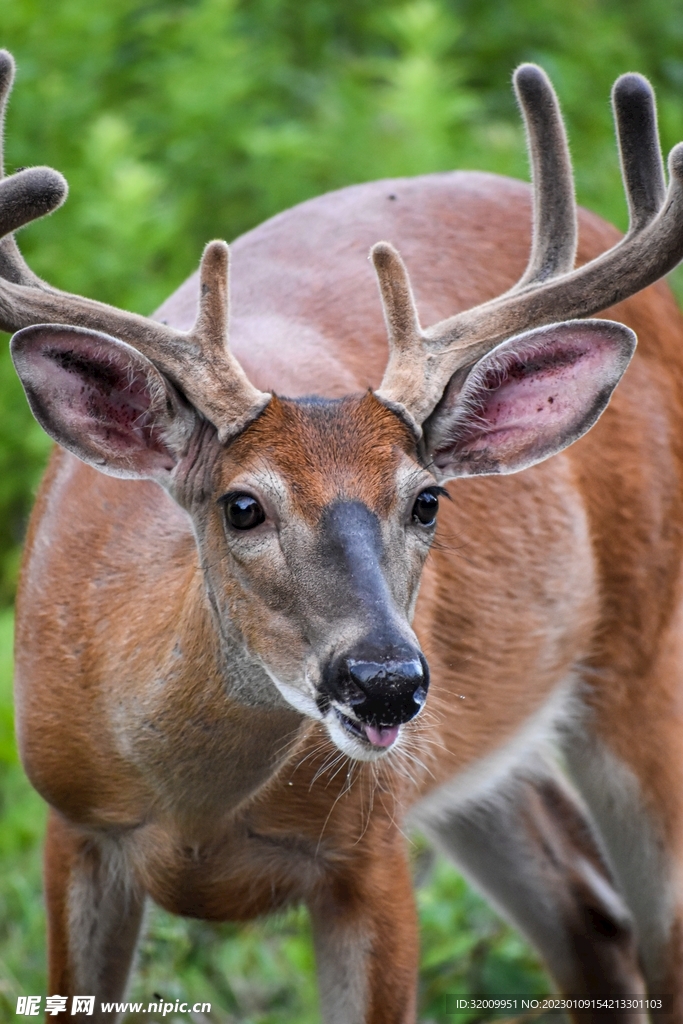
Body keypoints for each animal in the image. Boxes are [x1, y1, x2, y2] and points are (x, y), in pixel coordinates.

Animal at [3, 41, 683, 1019]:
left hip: (642, 654)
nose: (384, 681)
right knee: (591, 923)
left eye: (427, 499)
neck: (196, 816)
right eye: (241, 505)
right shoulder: (73, 826)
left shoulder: (372, 850)